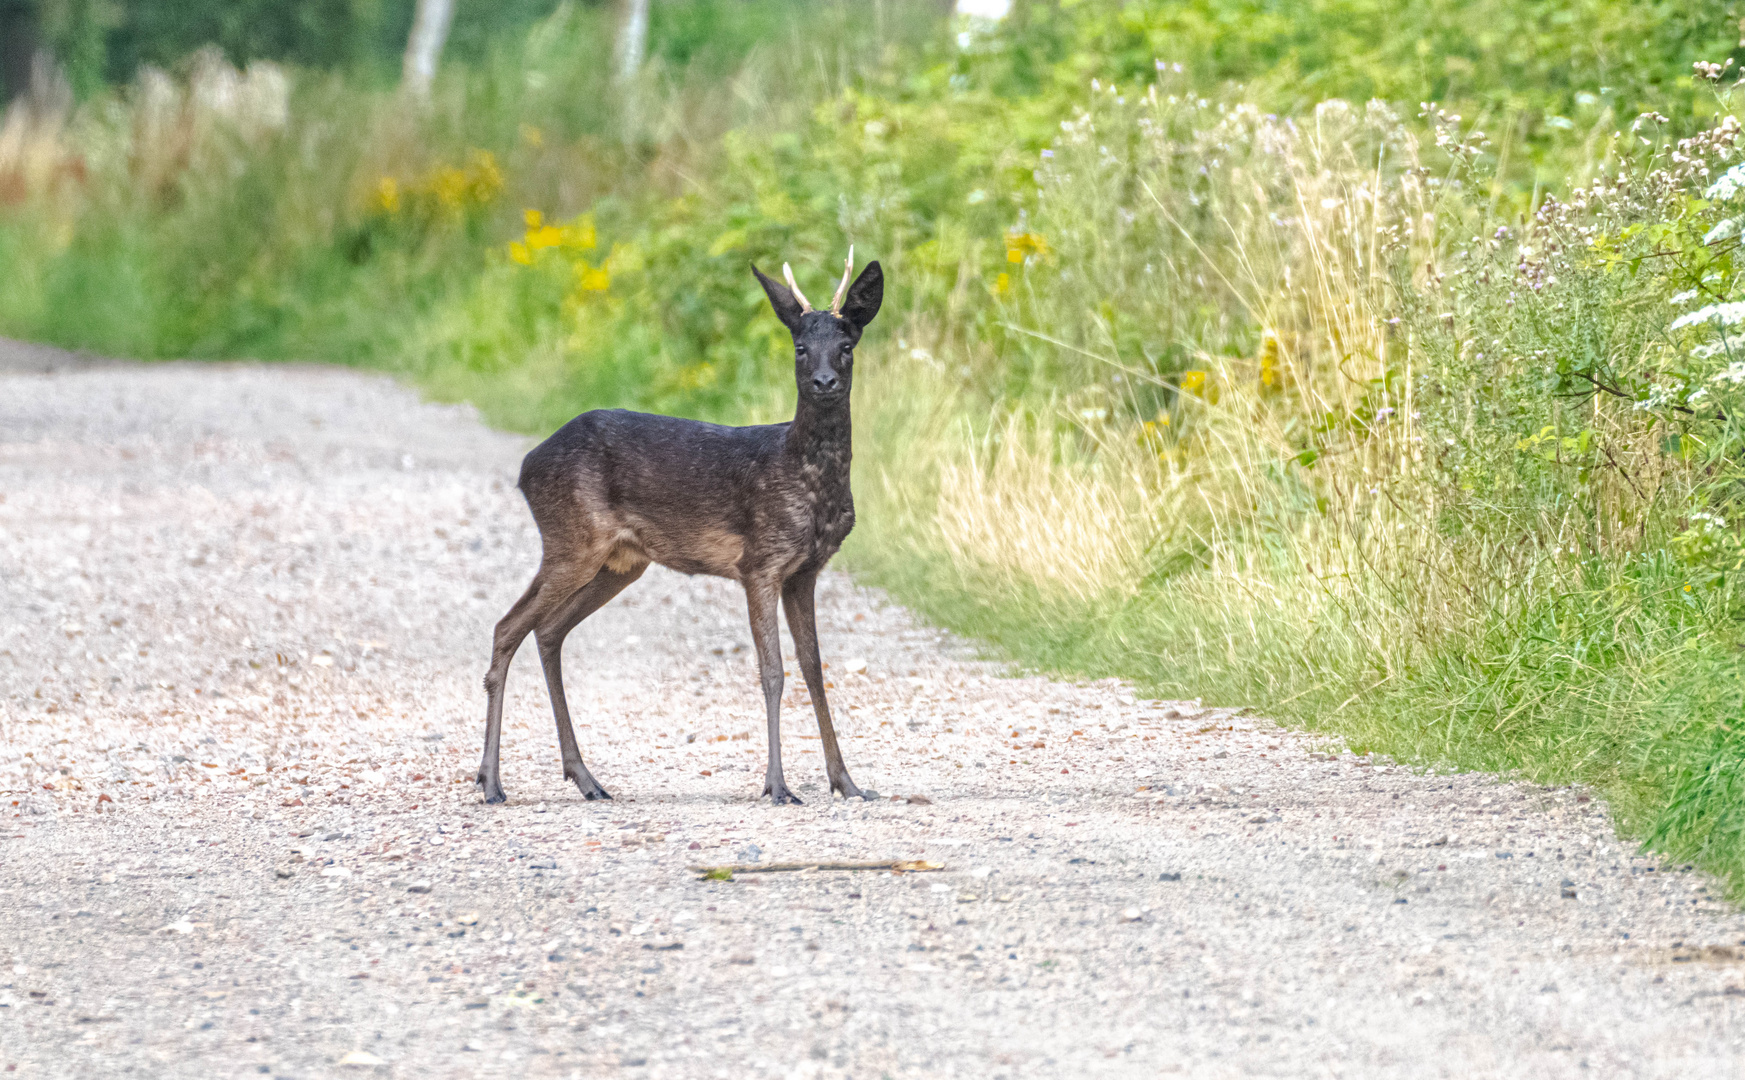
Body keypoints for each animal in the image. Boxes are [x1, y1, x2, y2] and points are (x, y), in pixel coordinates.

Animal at [478, 251, 879, 802]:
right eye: (800, 347)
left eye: (846, 346)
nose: (823, 382)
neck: (806, 477)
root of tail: (524, 468)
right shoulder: (760, 561)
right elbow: (772, 671)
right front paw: (777, 786)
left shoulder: (805, 570)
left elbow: (815, 669)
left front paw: (847, 782)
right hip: (572, 540)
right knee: (508, 626)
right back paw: (491, 782)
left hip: (620, 562)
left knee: (547, 630)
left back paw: (585, 778)